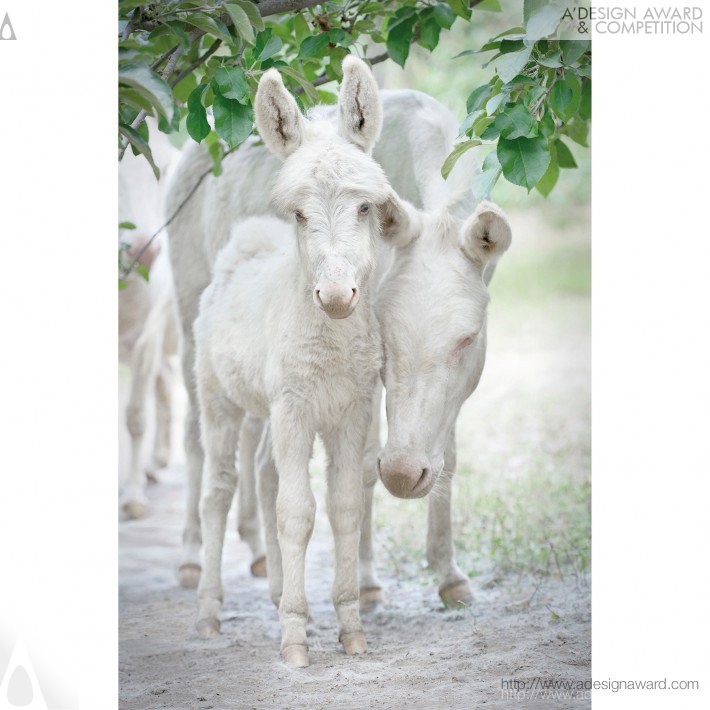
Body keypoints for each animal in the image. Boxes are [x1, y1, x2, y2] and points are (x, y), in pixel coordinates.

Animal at [195, 59, 392, 668]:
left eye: (365, 207)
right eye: (301, 214)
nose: (336, 295)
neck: (332, 346)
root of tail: (243, 247)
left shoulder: (351, 413)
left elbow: (345, 507)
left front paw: (351, 628)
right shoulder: (297, 412)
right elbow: (297, 513)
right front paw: (295, 640)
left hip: (267, 410)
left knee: (262, 471)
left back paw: (281, 590)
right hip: (220, 402)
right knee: (220, 489)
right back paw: (209, 611)